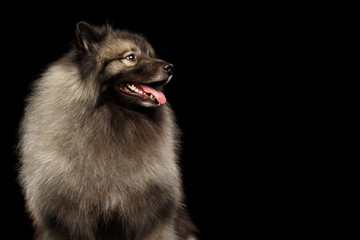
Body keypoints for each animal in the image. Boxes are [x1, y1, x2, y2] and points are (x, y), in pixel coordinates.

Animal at [17, 21, 197, 239]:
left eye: (150, 54)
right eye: (131, 57)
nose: (170, 68)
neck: (111, 123)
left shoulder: (148, 219)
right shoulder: (70, 220)